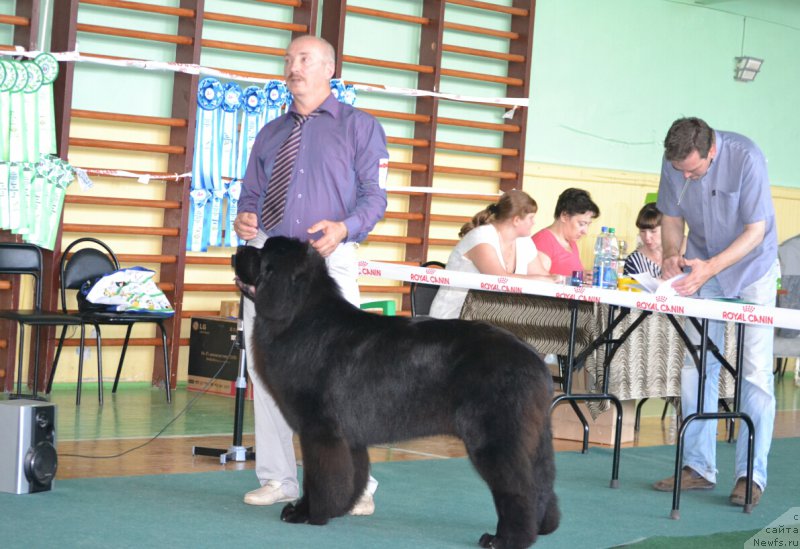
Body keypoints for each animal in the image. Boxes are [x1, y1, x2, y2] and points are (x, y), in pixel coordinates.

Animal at [238, 237, 560, 548]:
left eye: (262, 253)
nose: (239, 249)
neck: (299, 314)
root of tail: (533, 360)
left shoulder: (319, 429)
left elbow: (320, 476)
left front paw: (307, 512)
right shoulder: (348, 436)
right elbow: (351, 475)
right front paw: (339, 508)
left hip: (495, 437)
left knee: (518, 487)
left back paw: (506, 539)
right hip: (534, 438)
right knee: (542, 480)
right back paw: (543, 527)